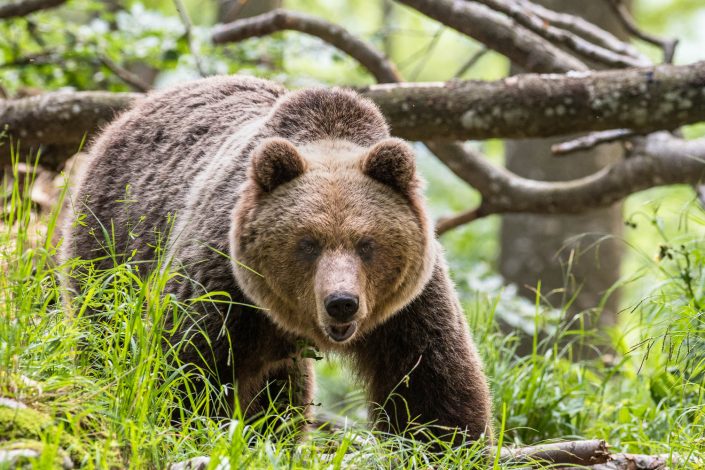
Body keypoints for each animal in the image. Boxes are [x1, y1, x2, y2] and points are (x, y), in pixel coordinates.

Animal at [59, 75, 490, 442]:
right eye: (308, 243)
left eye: (366, 243)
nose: (342, 303)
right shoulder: (225, 283)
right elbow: (189, 368)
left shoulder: (407, 307)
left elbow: (431, 390)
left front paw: (444, 443)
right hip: (111, 244)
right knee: (105, 329)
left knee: (284, 394)